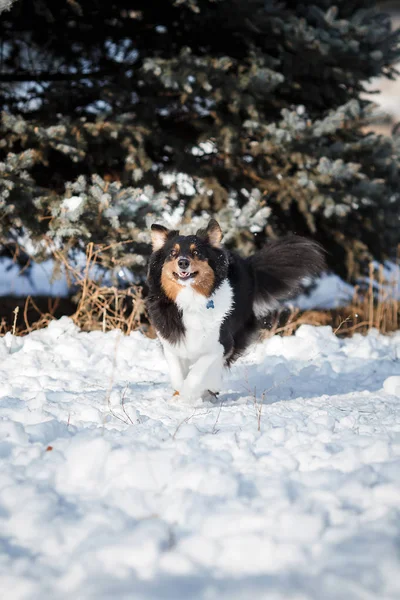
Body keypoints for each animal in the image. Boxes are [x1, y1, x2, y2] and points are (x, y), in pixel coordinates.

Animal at [147, 218, 324, 400]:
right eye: (172, 253)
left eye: (196, 252)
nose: (183, 262)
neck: (190, 299)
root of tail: (248, 265)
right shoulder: (171, 341)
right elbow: (177, 373)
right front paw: (180, 392)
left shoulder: (221, 343)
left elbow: (198, 372)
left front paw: (190, 394)